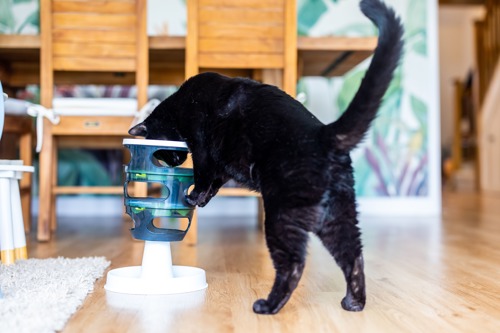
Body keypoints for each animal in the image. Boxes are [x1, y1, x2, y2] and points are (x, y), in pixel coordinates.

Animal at [129, 0, 402, 314]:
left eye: (162, 154)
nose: (173, 162)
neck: (179, 104)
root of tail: (323, 133)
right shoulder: (223, 163)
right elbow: (214, 183)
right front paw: (200, 199)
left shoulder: (202, 146)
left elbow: (203, 174)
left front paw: (193, 196)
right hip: (337, 218)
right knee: (353, 257)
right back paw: (354, 302)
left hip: (282, 216)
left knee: (294, 264)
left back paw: (268, 306)